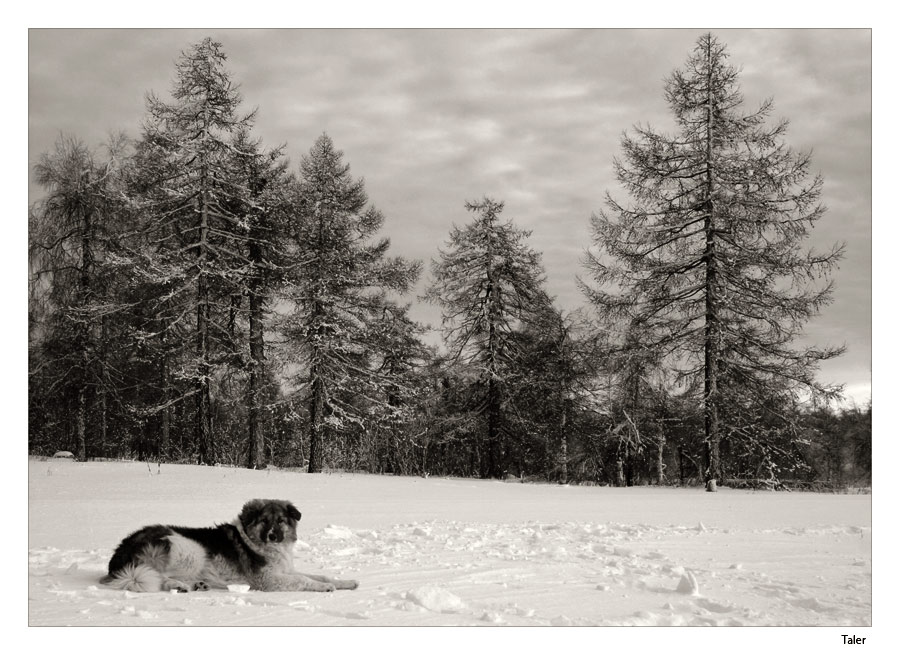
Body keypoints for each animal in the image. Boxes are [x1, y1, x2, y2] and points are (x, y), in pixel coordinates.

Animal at [99, 502, 358, 596]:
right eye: (264, 521)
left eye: (281, 520)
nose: (273, 536)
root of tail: (119, 555)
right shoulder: (267, 580)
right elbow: (305, 580)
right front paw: (325, 587)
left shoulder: (285, 571)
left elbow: (318, 575)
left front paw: (346, 582)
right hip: (189, 548)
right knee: (156, 576)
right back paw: (182, 585)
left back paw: (195, 584)